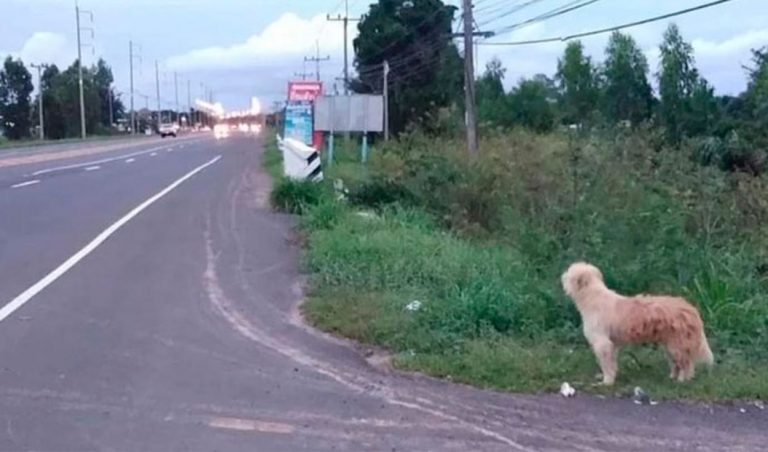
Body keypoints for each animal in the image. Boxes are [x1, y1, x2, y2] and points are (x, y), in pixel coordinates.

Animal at [560, 262, 712, 384]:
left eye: (569, 273)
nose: (562, 275)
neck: (593, 297)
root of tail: (691, 309)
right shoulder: (612, 344)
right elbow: (612, 363)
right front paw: (612, 377)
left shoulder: (602, 343)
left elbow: (606, 365)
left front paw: (607, 381)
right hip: (671, 345)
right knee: (679, 364)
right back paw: (672, 377)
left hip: (677, 345)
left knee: (686, 364)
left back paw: (681, 380)